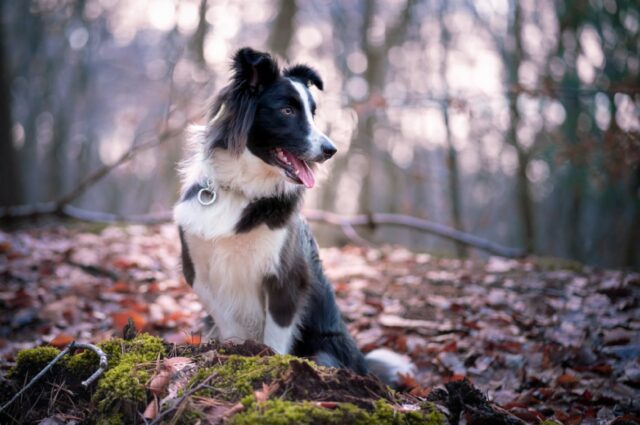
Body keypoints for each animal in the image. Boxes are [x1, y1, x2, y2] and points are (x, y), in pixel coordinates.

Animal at [174, 48, 416, 386]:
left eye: (313, 113)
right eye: (287, 110)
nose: (331, 150)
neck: (243, 190)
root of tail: (361, 364)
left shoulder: (285, 277)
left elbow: (276, 338)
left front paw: (269, 364)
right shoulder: (197, 269)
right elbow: (227, 320)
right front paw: (234, 353)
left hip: (327, 352)